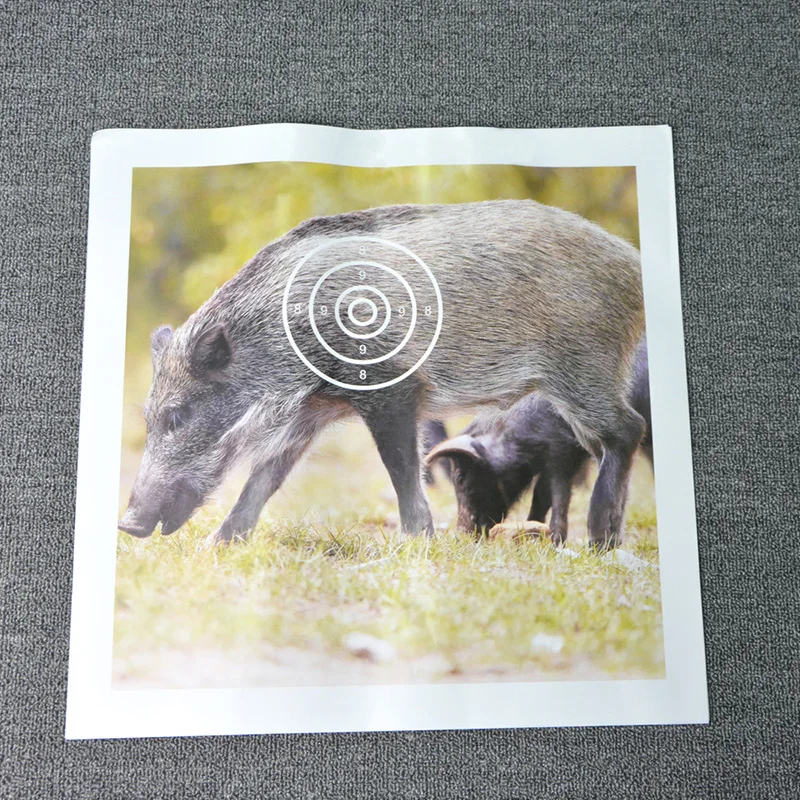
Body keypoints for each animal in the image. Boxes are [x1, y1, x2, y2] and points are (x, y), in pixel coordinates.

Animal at [426, 339, 652, 544]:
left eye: (459, 477)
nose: (461, 535)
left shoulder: (563, 453)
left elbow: (558, 494)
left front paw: (555, 540)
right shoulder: (550, 460)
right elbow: (541, 495)